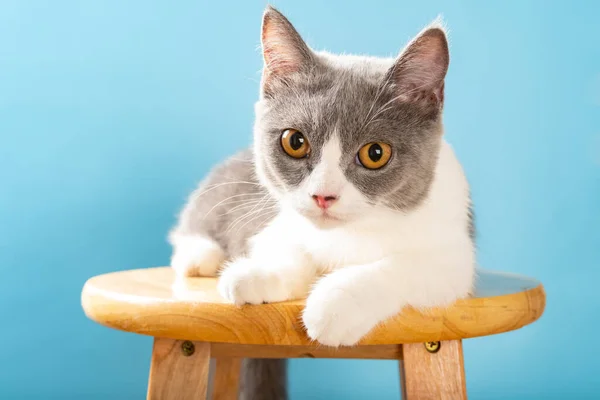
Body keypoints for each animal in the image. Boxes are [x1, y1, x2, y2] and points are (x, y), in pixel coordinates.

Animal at [168, 4, 474, 398]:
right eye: (294, 141)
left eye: (375, 153)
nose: (323, 195)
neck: (347, 234)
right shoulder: (274, 219)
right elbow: (286, 245)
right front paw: (255, 274)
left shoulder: (455, 255)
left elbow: (404, 265)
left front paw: (336, 304)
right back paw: (199, 257)